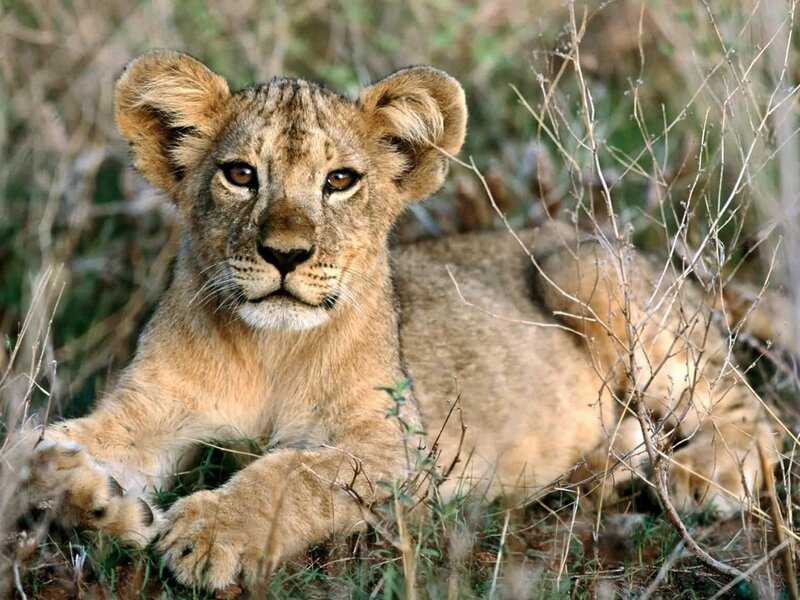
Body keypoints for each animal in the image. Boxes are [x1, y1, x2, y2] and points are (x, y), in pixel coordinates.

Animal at [23, 50, 777, 590]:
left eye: (339, 181)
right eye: (240, 175)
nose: (285, 254)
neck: (271, 350)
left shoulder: (403, 449)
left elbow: (296, 473)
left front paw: (208, 532)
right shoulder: (151, 404)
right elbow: (40, 444)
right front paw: (95, 498)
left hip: (585, 272)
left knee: (755, 414)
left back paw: (701, 475)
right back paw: (602, 471)